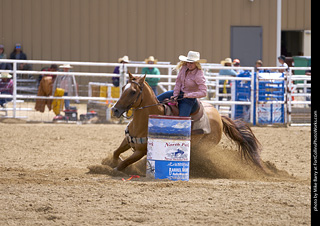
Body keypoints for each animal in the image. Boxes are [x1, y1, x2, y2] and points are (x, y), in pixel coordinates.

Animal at [107, 72, 262, 173]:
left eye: (133, 92)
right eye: (123, 88)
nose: (115, 110)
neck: (144, 121)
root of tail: (219, 116)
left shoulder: (141, 151)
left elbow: (124, 163)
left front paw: (115, 168)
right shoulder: (128, 140)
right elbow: (116, 152)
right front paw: (110, 162)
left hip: (204, 146)